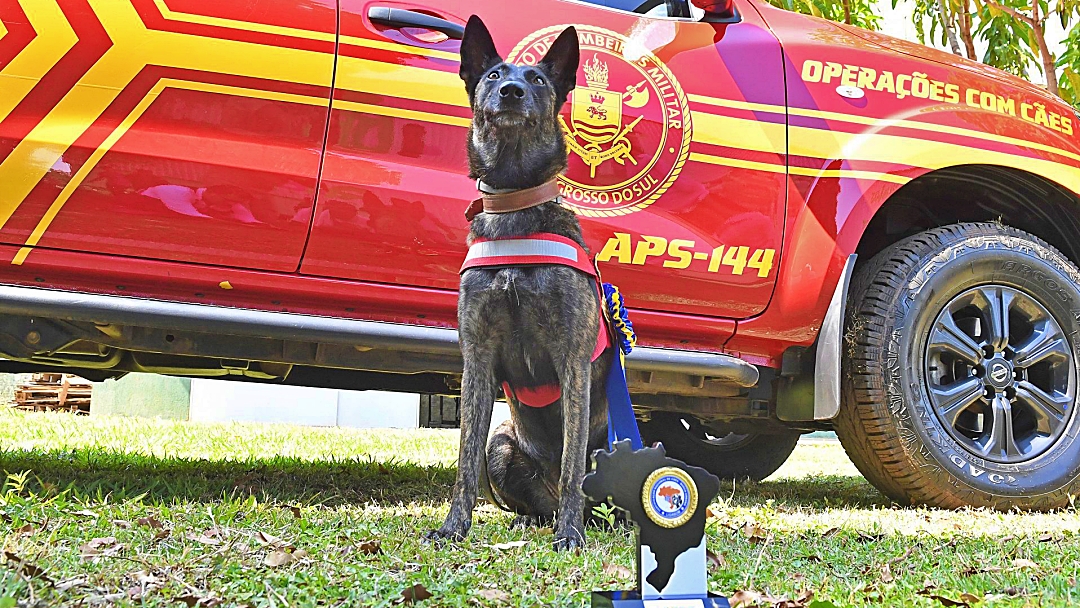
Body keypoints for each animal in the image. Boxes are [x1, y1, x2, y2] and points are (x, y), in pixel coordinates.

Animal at [427, 15, 617, 552]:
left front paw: (569, 536)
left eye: (537, 79)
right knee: (528, 497)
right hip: (502, 443)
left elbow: (573, 464)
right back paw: (530, 521)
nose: (511, 91)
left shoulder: (572, 360)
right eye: (493, 75)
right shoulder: (477, 361)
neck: (515, 206)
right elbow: (464, 461)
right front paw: (454, 527)